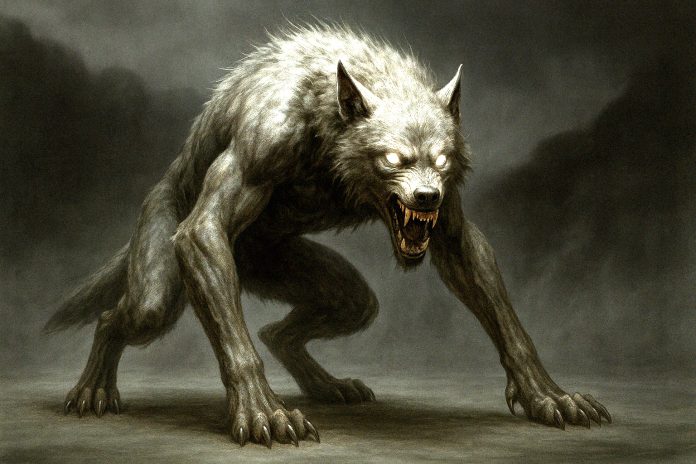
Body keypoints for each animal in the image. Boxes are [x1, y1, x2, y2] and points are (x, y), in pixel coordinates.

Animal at [45, 24, 611, 447]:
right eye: (394, 160)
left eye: (442, 161)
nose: (427, 196)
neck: (329, 121)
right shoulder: (253, 155)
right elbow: (216, 272)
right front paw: (261, 412)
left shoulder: (451, 235)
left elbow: (508, 324)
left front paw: (547, 396)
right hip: (163, 285)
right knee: (120, 316)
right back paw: (92, 390)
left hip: (319, 287)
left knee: (288, 328)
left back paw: (329, 387)